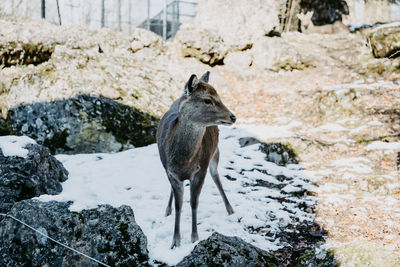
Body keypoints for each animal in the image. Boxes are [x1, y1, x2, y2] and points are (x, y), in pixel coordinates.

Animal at [156, 71, 236, 249]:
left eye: (219, 96)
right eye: (207, 100)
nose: (233, 117)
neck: (184, 160)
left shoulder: (201, 169)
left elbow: (194, 202)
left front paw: (194, 238)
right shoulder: (171, 172)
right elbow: (179, 205)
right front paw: (175, 241)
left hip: (215, 154)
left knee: (216, 176)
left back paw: (230, 209)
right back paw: (166, 210)